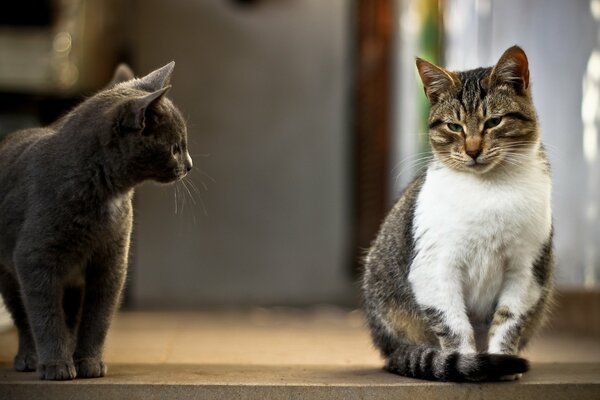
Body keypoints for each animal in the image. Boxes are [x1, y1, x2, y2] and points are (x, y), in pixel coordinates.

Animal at [0, 61, 192, 378]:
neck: (106, 193)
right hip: (7, 273)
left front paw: (88, 363)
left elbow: (97, 316)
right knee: (23, 315)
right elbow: (45, 315)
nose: (189, 165)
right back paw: (29, 358)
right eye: (176, 147)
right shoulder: (34, 258)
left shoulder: (111, 261)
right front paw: (56, 365)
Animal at [360, 46, 552, 382]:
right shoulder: (435, 268)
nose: (473, 150)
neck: (489, 190)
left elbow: (508, 320)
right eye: (454, 126)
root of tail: (387, 349)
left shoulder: (526, 271)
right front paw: (468, 364)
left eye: (494, 121)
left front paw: (502, 363)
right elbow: (454, 325)